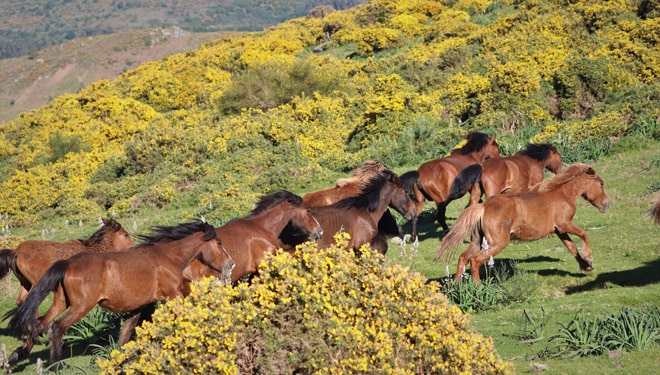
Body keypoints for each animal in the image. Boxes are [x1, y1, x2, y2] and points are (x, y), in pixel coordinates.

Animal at [0, 217, 135, 308]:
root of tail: (16, 252)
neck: (93, 250)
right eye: (125, 234)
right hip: (35, 282)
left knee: (20, 301)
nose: (134, 247)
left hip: (24, 282)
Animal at [436, 163, 612, 284]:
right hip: (497, 243)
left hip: (477, 241)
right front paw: (589, 259)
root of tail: (483, 207)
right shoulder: (564, 224)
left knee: (463, 258)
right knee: (475, 261)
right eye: (601, 183)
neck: (561, 194)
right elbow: (583, 234)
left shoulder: (559, 230)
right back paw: (478, 287)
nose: (607, 205)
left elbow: (571, 247)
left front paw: (586, 266)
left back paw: (456, 286)